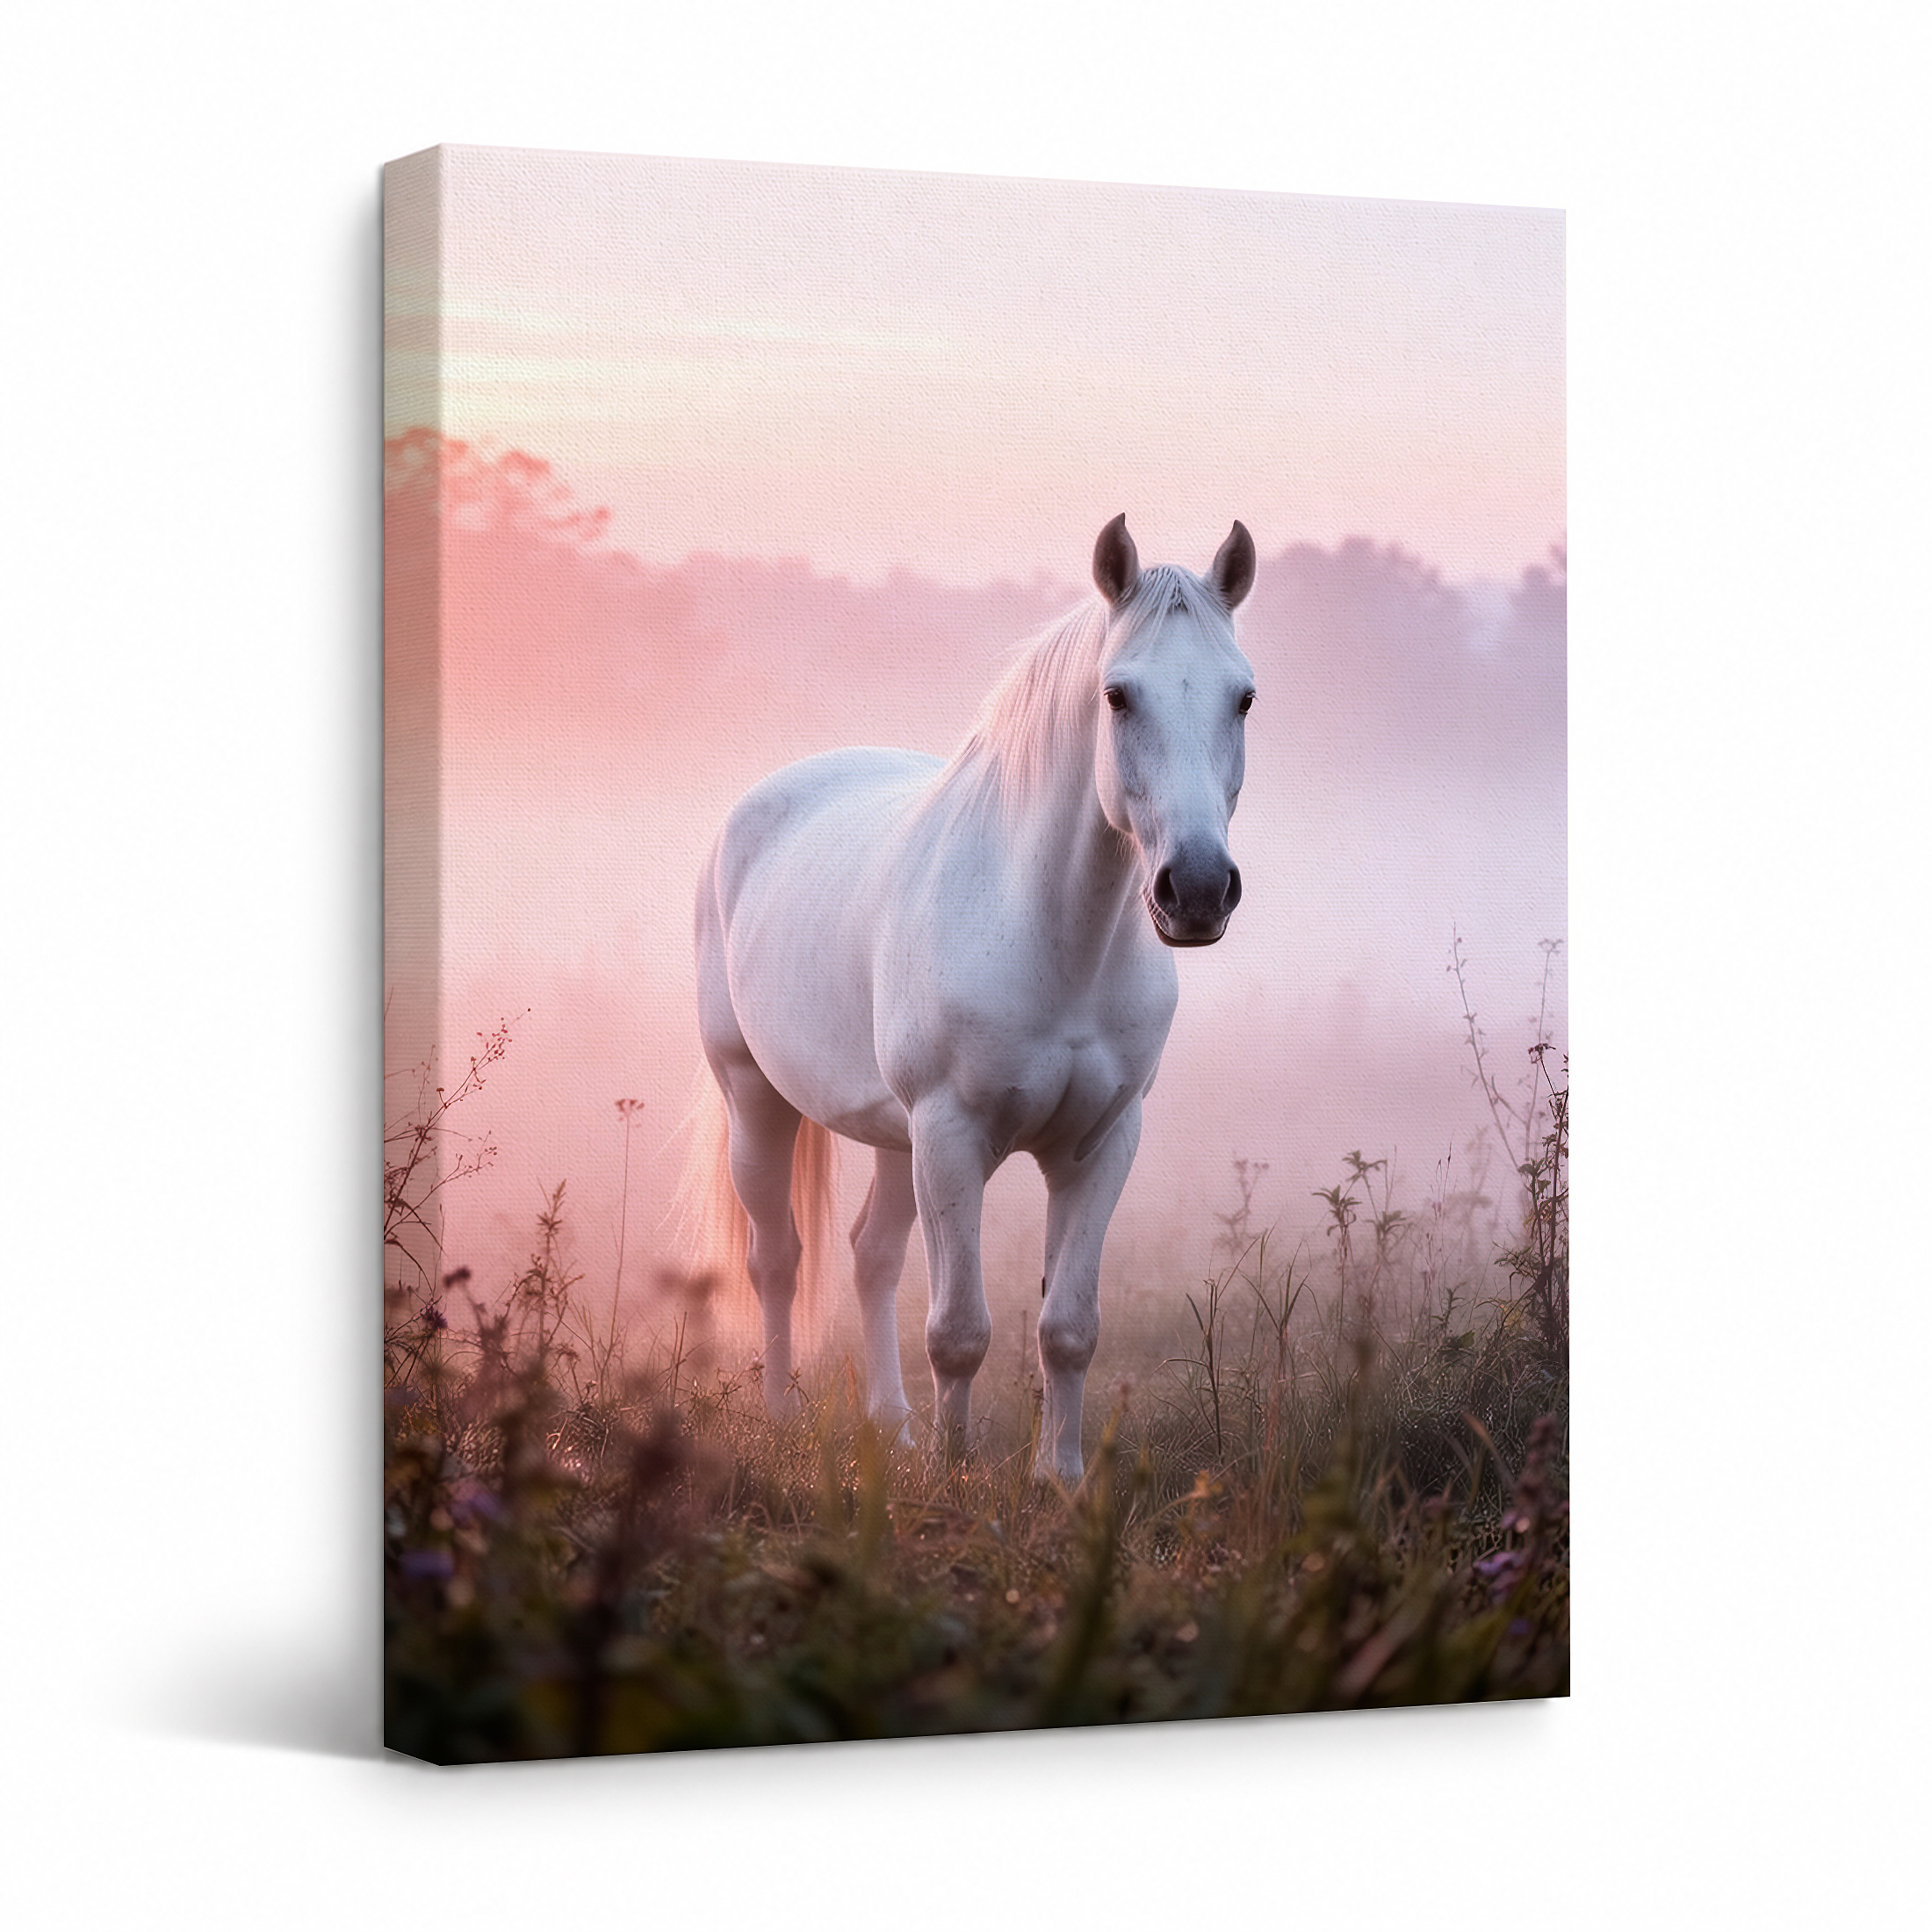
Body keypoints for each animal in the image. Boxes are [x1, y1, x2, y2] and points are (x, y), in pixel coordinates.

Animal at [689, 514, 1256, 1482]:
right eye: (1117, 696)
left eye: (1244, 698)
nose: (1196, 890)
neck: (1052, 940)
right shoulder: (952, 1133)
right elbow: (957, 1331)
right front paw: (950, 1485)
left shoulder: (1100, 1142)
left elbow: (1067, 1327)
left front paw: (1058, 1479)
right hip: (756, 1100)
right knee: (778, 1260)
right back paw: (782, 1416)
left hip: (893, 1137)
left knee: (871, 1258)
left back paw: (891, 1426)